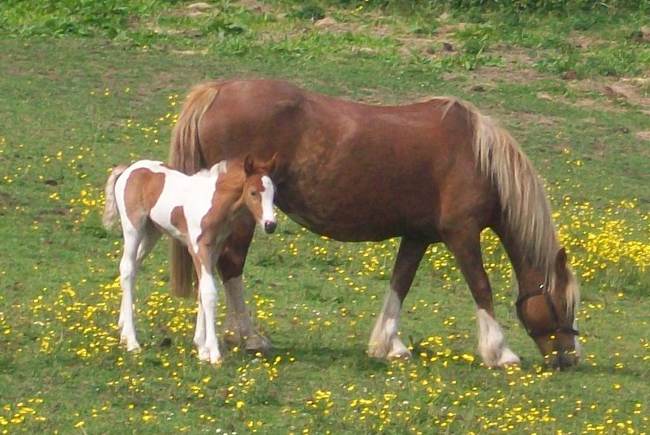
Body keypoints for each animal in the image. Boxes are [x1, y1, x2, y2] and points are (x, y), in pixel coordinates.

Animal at [101, 156, 276, 364]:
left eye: (274, 193)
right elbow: (209, 293)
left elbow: (201, 291)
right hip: (133, 228)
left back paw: (122, 331)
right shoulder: (199, 249)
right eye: (253, 192)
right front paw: (214, 353)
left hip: (152, 232)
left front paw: (202, 348)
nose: (271, 225)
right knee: (127, 269)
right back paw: (132, 341)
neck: (212, 202)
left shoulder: (215, 248)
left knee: (133, 268)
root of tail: (129, 168)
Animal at [166, 80, 576, 370]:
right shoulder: (461, 234)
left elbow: (400, 283)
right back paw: (250, 337)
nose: (570, 357)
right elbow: (481, 288)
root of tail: (218, 90)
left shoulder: (417, 236)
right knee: (231, 266)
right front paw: (500, 352)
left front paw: (387, 344)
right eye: (562, 305)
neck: (477, 157)